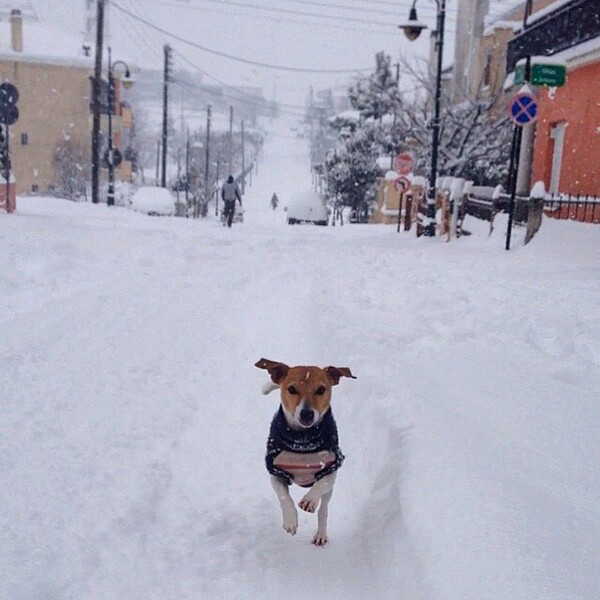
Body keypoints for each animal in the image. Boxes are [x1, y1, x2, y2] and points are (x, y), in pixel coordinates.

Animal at [254, 358, 356, 548]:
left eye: (321, 390)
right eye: (292, 389)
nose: (307, 414)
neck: (302, 440)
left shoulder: (333, 465)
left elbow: (322, 484)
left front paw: (309, 500)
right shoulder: (274, 470)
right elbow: (283, 496)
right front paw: (290, 521)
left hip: (329, 494)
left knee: (323, 509)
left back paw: (320, 533)